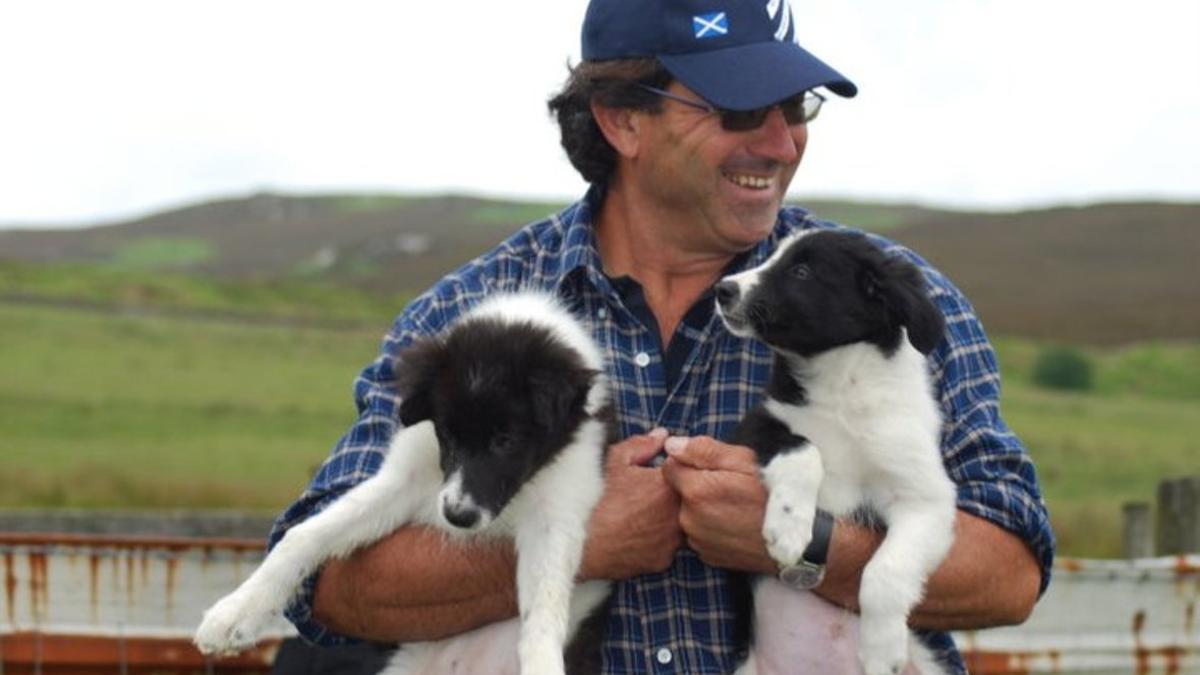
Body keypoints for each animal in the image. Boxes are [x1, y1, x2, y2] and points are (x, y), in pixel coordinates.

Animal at [195, 291, 614, 672]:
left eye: (506, 440)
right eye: (447, 434)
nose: (457, 517)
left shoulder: (558, 509)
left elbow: (543, 610)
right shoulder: (404, 479)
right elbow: (305, 534)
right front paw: (233, 613)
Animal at [715, 229, 960, 672]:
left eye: (801, 271)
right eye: (772, 257)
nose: (723, 290)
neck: (843, 386)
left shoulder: (925, 500)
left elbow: (885, 572)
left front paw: (881, 649)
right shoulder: (756, 425)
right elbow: (803, 450)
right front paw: (789, 527)